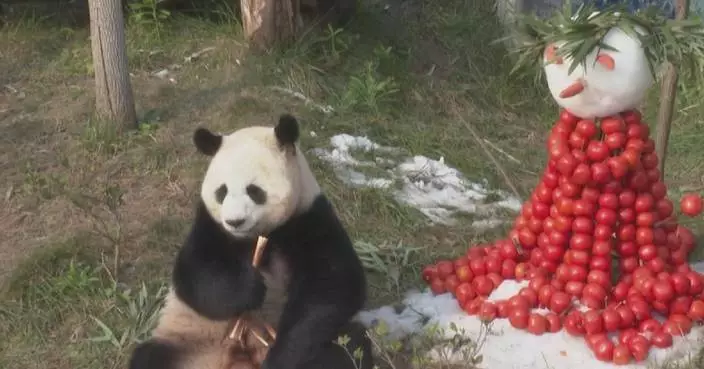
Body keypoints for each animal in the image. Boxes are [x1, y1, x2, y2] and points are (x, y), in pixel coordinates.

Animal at [129, 113, 376, 368]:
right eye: (222, 192)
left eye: (254, 190)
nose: (235, 221)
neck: (257, 236)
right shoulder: (211, 226)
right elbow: (196, 274)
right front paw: (251, 288)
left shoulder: (310, 218)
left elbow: (331, 286)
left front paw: (281, 358)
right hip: (187, 340)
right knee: (150, 356)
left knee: (348, 347)